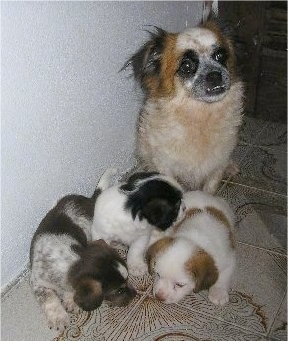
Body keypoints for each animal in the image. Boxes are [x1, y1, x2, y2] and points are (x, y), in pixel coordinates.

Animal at [29, 191, 136, 332]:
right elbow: (50, 299)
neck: (70, 260)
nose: (136, 294)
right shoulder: (37, 283)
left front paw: (70, 301)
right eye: (119, 291)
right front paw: (59, 318)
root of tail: (90, 199)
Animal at [124, 19, 243, 193]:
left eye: (220, 56)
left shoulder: (217, 166)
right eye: (186, 66)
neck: (200, 118)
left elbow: (209, 190)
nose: (215, 75)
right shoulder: (165, 166)